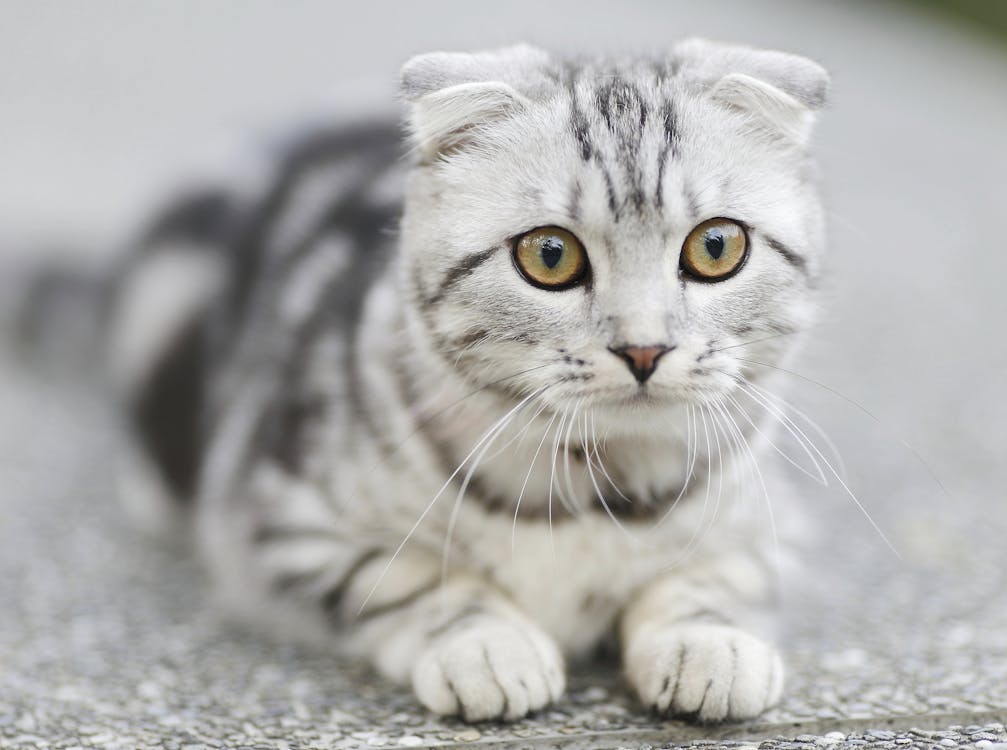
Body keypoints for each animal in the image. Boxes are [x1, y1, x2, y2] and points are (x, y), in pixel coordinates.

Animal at [106, 39, 829, 720]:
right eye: (549, 256)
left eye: (716, 248)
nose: (644, 349)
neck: (590, 481)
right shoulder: (279, 521)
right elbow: (409, 577)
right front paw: (487, 646)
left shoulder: (772, 529)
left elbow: (711, 578)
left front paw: (709, 645)